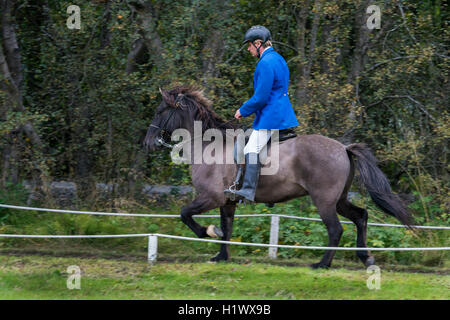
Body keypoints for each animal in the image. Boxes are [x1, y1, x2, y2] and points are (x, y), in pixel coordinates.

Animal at [145, 86, 414, 268]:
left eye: (159, 111)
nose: (149, 142)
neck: (209, 146)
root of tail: (343, 148)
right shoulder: (227, 202)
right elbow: (227, 227)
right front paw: (221, 256)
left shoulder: (211, 197)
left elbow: (185, 214)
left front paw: (208, 232)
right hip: (339, 199)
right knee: (360, 217)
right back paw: (365, 257)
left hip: (324, 200)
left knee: (335, 229)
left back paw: (322, 264)